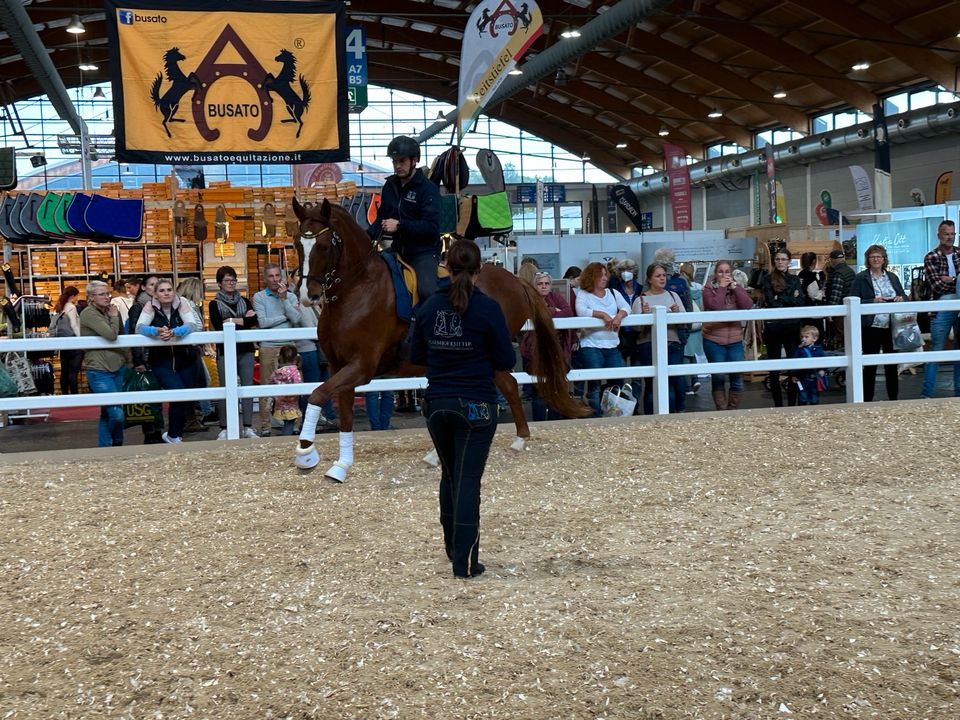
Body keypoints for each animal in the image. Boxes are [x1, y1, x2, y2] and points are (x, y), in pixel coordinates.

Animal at [286, 198, 584, 478]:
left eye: (324, 245)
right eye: (298, 243)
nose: (307, 295)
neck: (357, 289)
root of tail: (514, 280)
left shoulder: (362, 367)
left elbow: (316, 395)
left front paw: (306, 453)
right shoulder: (340, 366)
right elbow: (344, 415)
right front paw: (341, 465)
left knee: (505, 387)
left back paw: (518, 440)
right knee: (504, 386)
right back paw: (444, 453)